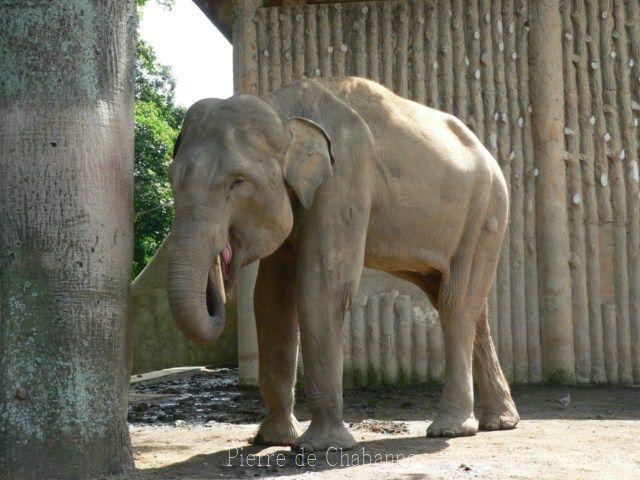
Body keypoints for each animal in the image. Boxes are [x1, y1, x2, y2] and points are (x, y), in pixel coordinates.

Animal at [166, 75, 520, 450]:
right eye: (172, 179)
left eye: (237, 182)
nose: (221, 268)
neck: (281, 109)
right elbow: (270, 299)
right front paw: (271, 439)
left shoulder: (345, 176)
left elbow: (322, 284)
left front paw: (321, 446)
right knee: (463, 304)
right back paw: (500, 422)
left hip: (486, 214)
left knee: (456, 302)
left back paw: (450, 429)